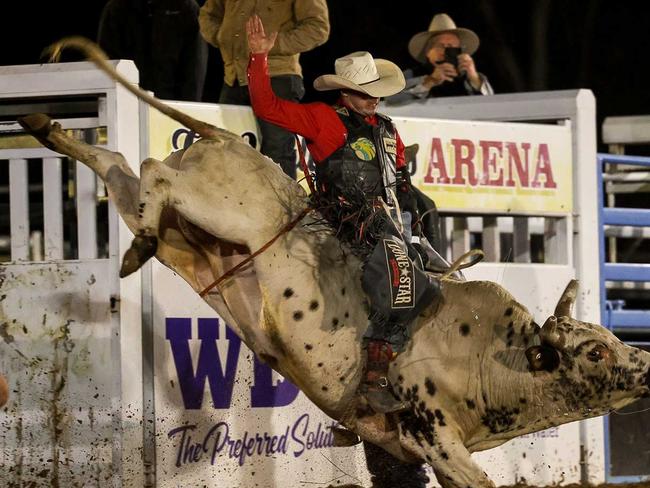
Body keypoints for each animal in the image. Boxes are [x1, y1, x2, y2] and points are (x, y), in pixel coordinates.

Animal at [16, 36, 648, 486]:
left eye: (607, 339)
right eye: (594, 351)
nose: (644, 362)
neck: (494, 356)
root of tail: (225, 136)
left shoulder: (413, 451)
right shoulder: (435, 434)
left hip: (188, 235)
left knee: (118, 163)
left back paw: (50, 132)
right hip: (214, 209)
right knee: (152, 170)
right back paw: (132, 249)